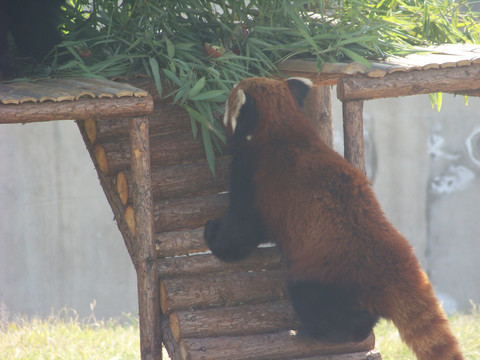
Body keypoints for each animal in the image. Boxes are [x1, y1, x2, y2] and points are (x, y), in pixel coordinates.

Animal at [203, 76, 464, 360]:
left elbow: (241, 232)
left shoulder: (255, 179)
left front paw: (212, 235)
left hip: (326, 276)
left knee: (317, 304)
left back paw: (317, 332)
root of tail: (397, 263)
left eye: (230, 97)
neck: (281, 127)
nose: (219, 99)